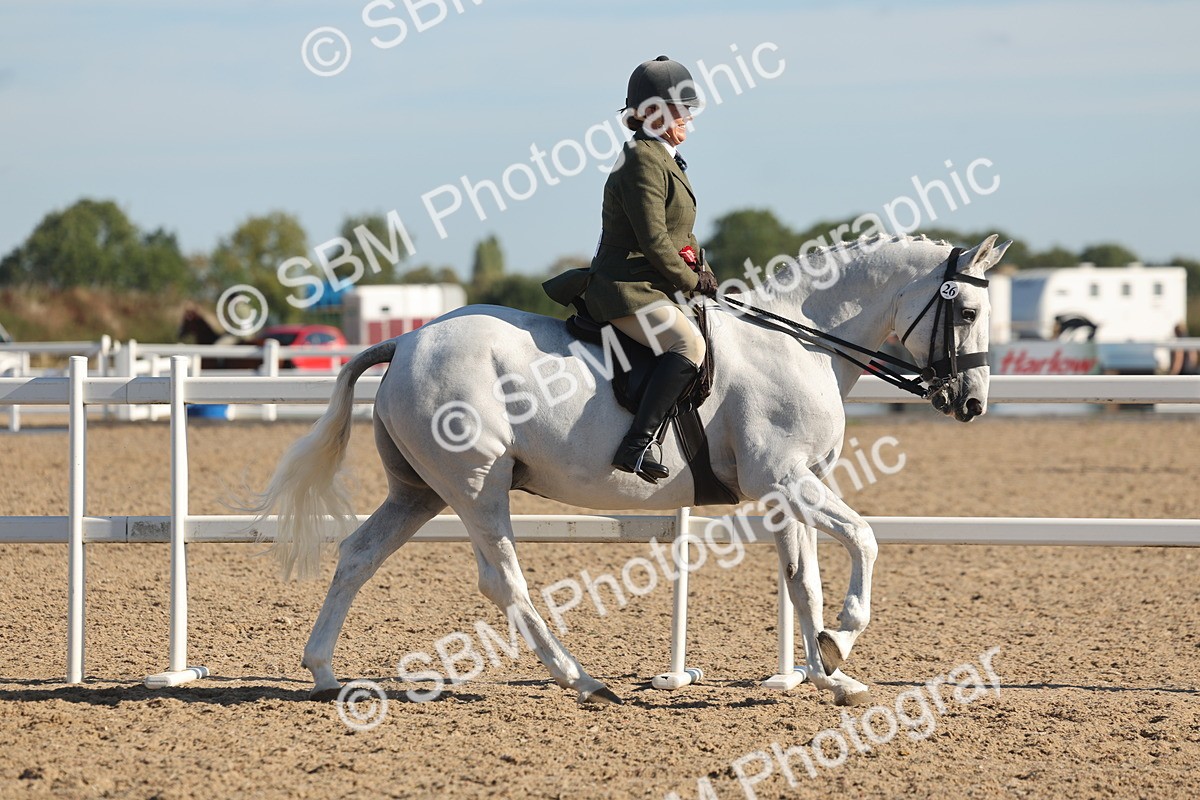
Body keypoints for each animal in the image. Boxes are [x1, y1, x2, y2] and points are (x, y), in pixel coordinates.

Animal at [250, 233, 1011, 707]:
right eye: (968, 310)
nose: (972, 403)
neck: (802, 342)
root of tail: (406, 341)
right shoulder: (786, 482)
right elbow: (865, 541)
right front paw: (843, 639)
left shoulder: (784, 493)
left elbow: (804, 582)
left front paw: (829, 675)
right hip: (476, 486)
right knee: (503, 581)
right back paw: (582, 681)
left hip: (419, 492)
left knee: (358, 554)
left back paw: (323, 672)